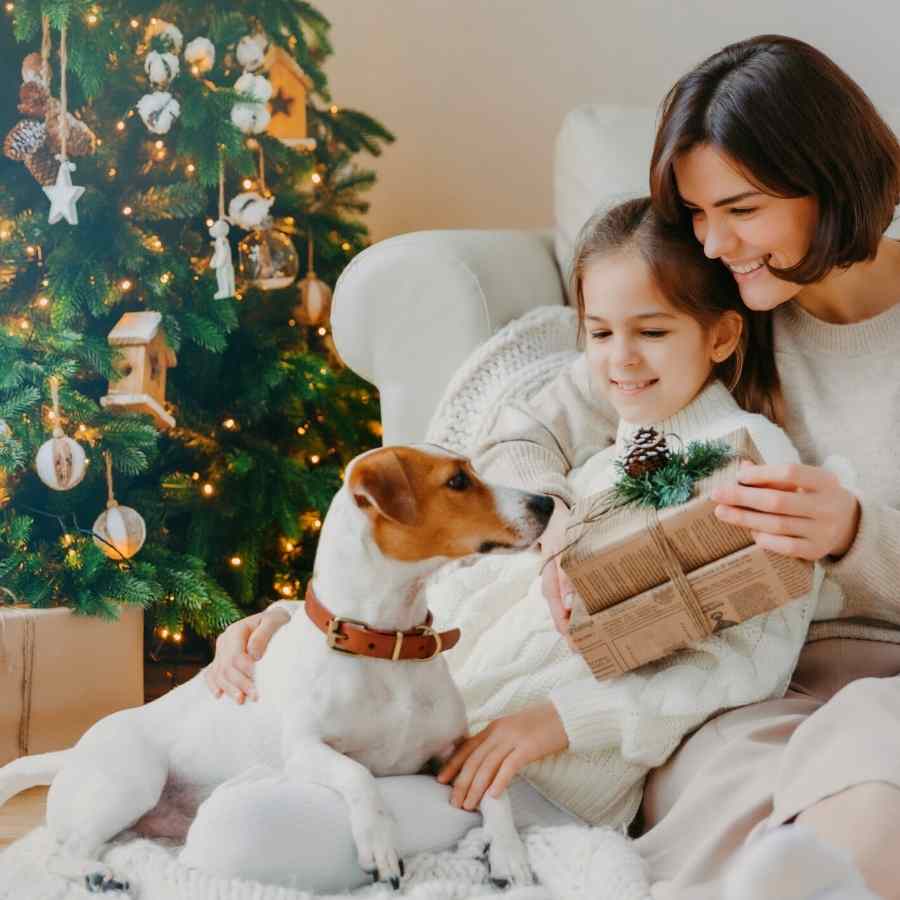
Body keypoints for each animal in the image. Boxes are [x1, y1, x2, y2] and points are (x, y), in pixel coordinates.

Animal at [0, 442, 556, 892]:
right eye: (458, 481)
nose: (547, 502)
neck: (384, 645)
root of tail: (73, 751)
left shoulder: (455, 752)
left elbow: (496, 792)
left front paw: (507, 851)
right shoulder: (305, 749)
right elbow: (358, 774)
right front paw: (378, 843)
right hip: (133, 778)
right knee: (59, 851)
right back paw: (97, 874)